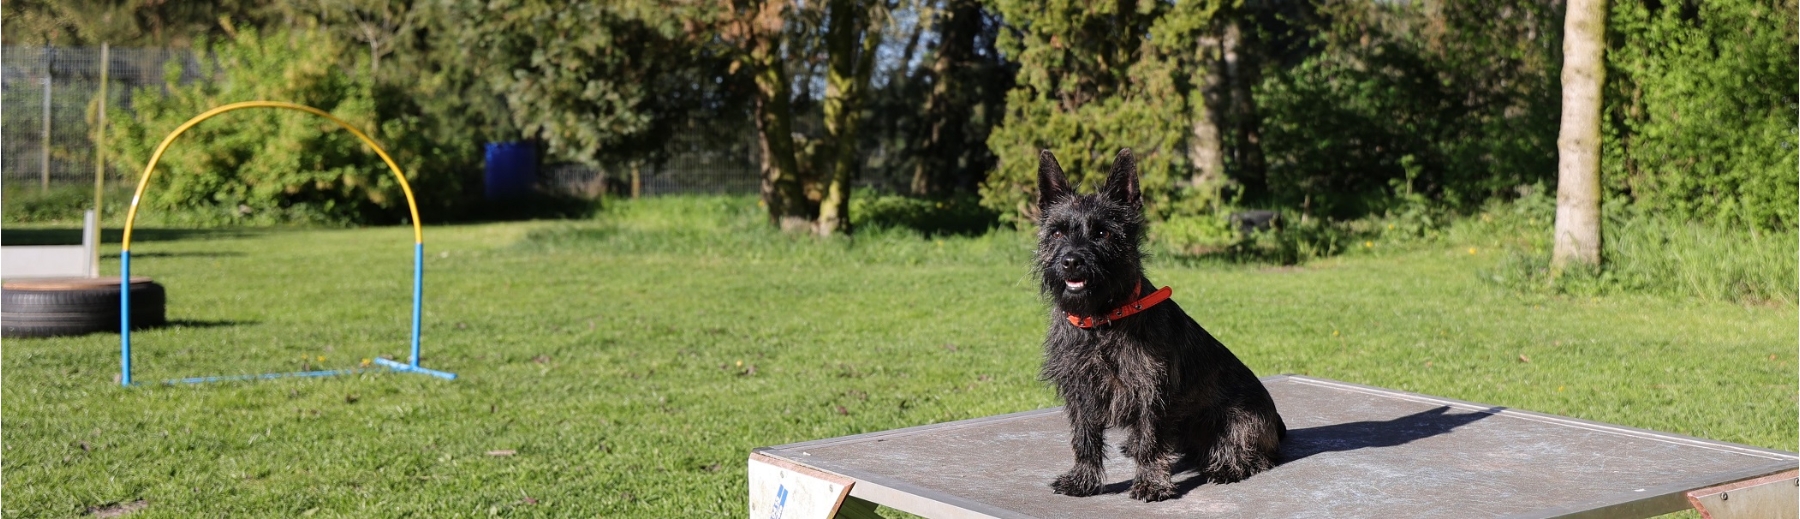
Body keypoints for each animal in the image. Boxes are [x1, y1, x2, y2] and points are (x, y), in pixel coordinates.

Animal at [1036, 147, 1288, 500]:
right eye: (1057, 232)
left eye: (1103, 232)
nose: (1072, 261)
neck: (1103, 320)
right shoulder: (1081, 390)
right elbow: (1085, 439)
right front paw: (1083, 480)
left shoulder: (1151, 391)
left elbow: (1153, 440)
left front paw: (1152, 482)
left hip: (1240, 419)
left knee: (1253, 453)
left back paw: (1229, 465)